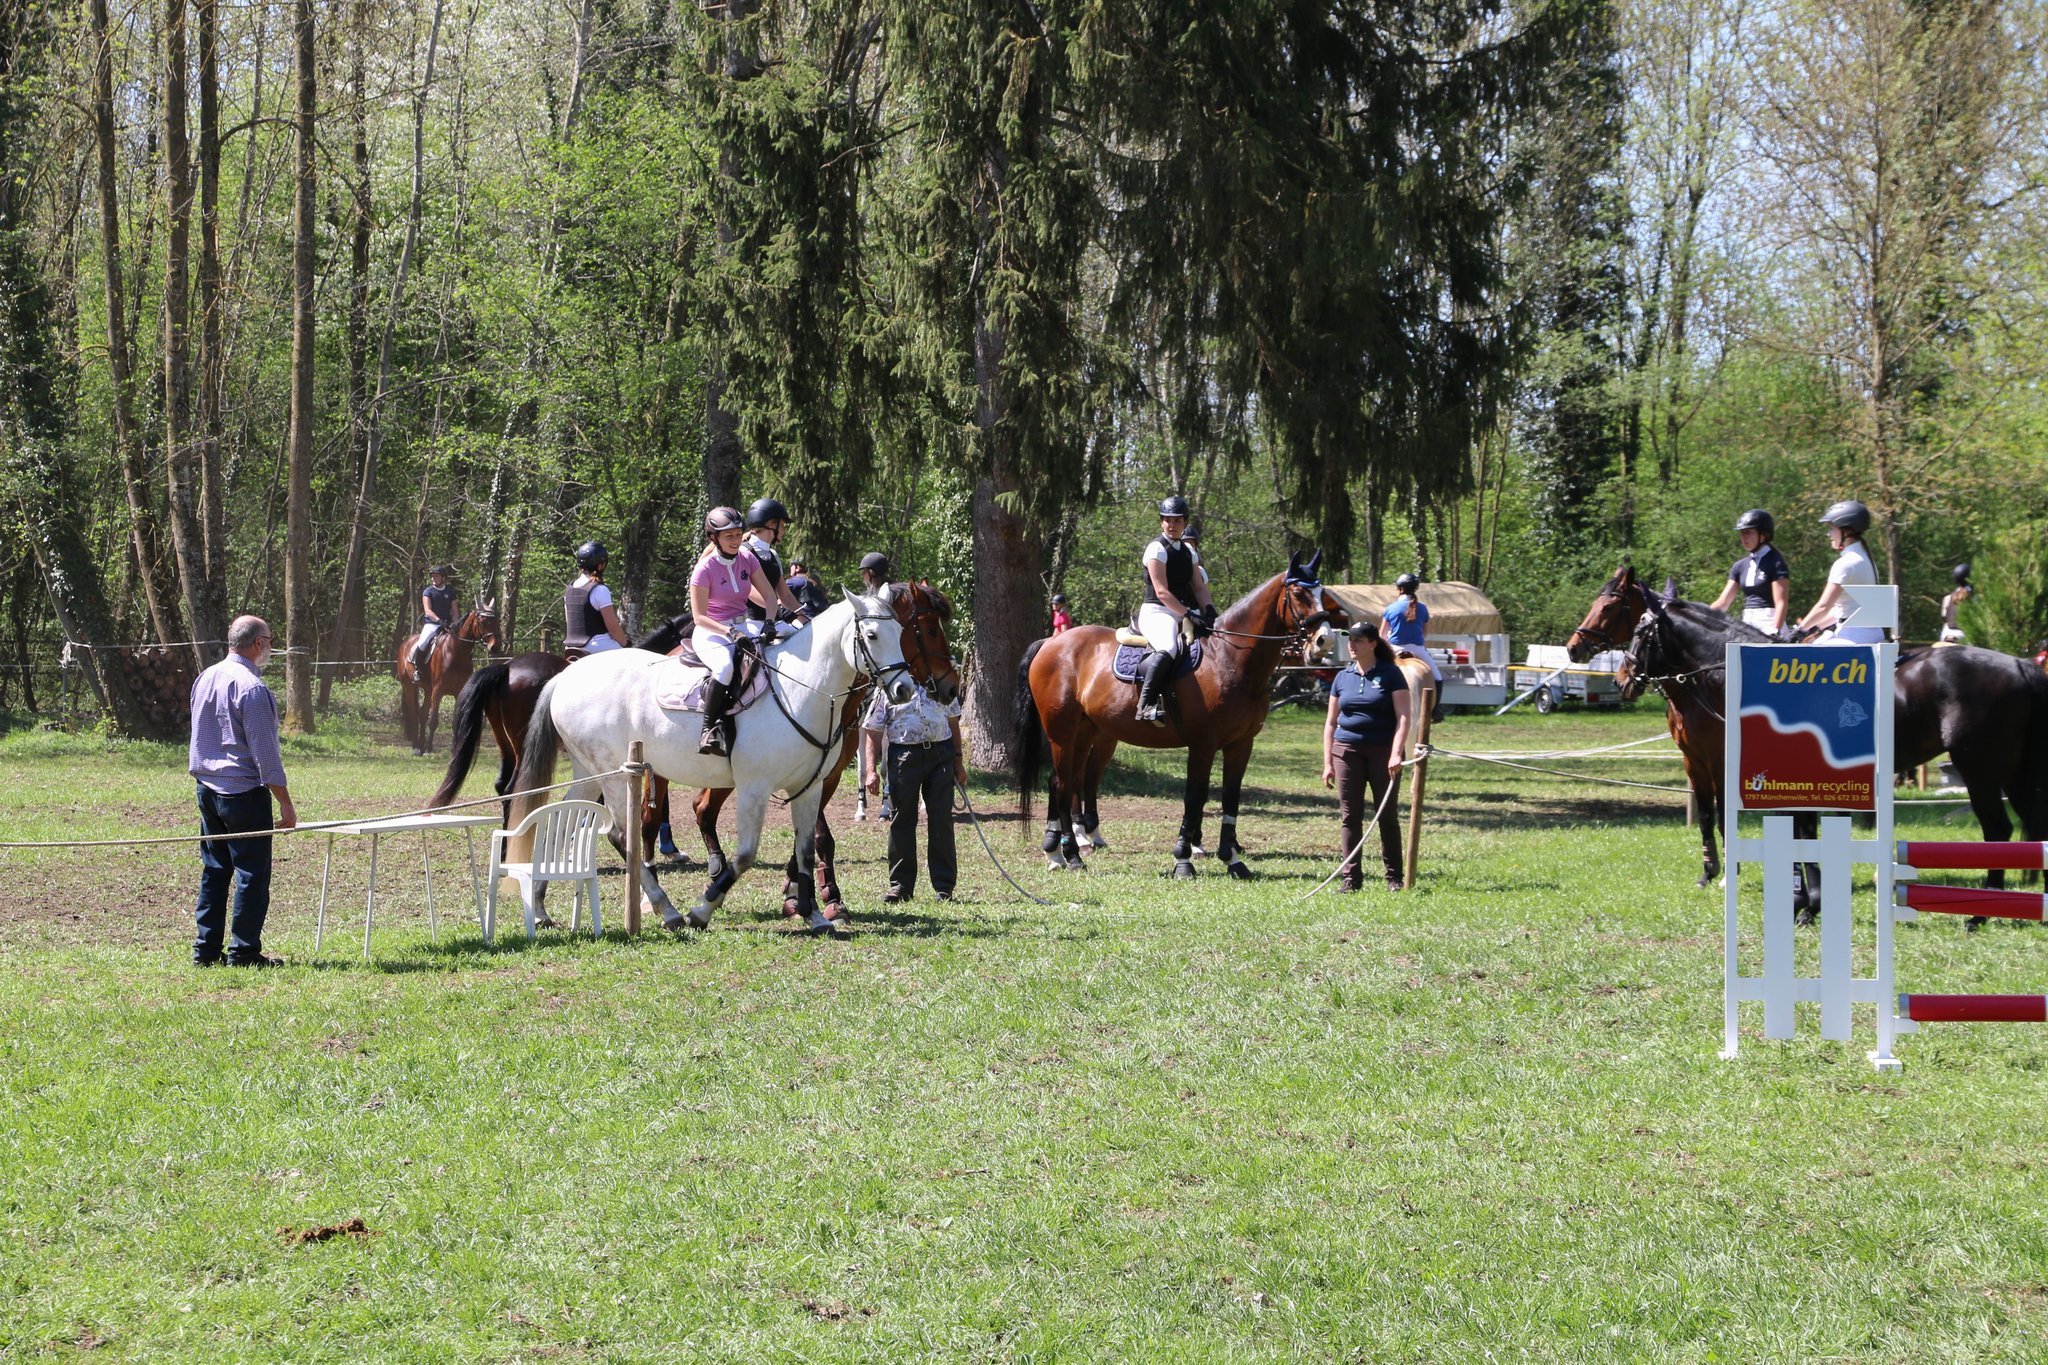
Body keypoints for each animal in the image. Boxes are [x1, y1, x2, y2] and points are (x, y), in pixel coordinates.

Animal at [396, 601, 501, 756]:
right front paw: (429, 749)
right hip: (409, 687)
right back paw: (416, 747)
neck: (455, 652)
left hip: (428, 690)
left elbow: (455, 722)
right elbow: (433, 720)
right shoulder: (438, 690)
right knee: (414, 714)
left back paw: (421, 745)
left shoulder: (458, 691)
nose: (494, 647)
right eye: (482, 621)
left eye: (495, 621)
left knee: (422, 713)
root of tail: (405, 643)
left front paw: (453, 750)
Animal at [509, 593, 916, 934]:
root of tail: (566, 675)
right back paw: (668, 911)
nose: (905, 689)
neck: (800, 689)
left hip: (590, 771)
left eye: (901, 632)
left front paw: (814, 914)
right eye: (872, 635)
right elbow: (746, 854)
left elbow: (804, 849)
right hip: (614, 776)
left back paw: (540, 907)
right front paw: (702, 909)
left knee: (560, 825)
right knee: (621, 835)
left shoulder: (809, 787)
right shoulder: (755, 787)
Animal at [1014, 551, 1336, 878]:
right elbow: (1195, 797)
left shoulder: (1241, 744)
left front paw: (1232, 859)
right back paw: (1071, 854)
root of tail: (1051, 643)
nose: (1324, 641)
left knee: (1063, 781)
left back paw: (1057, 852)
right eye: (1298, 594)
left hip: (1084, 731)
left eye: (1322, 592)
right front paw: (1184, 859)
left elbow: (1230, 797)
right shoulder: (1203, 744)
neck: (1229, 658)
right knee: (1063, 785)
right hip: (1062, 733)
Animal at [1579, 569, 2048, 926]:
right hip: (2011, 772)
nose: (1622, 678)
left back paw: (1980, 914)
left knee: (1998, 829)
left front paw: (1806, 904)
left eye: (1633, 624)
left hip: (1979, 769)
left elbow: (1793, 832)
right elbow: (1795, 832)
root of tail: (2020, 664)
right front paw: (1803, 902)